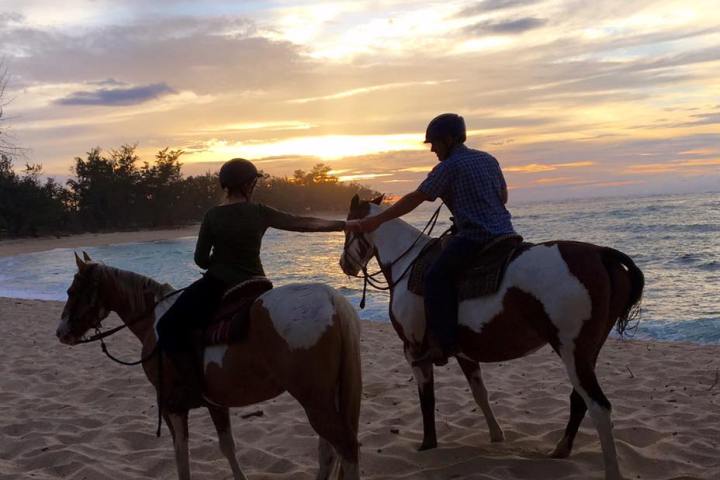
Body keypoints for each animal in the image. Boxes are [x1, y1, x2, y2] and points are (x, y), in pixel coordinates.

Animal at [56, 253, 362, 478]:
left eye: (72, 290)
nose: (61, 333)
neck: (155, 321)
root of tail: (331, 300)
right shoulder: (216, 403)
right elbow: (227, 447)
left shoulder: (172, 406)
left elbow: (181, 456)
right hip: (329, 399)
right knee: (329, 452)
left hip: (316, 403)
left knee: (346, 449)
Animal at [340, 195, 644, 480]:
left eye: (347, 228)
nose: (344, 265)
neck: (408, 264)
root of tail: (601, 254)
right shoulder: (463, 352)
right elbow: (480, 393)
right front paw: (496, 434)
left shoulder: (414, 352)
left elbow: (427, 400)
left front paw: (428, 444)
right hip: (586, 352)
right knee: (580, 400)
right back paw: (561, 449)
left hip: (573, 351)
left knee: (599, 407)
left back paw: (611, 471)